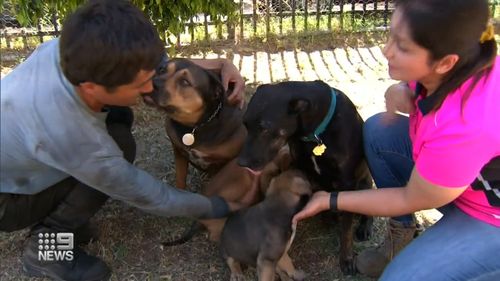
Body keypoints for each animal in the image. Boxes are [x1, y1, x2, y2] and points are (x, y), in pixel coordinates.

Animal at [145, 57, 246, 188]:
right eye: (162, 70)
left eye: (185, 82)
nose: (152, 83)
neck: (197, 125)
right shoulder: (179, 152)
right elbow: (180, 179)